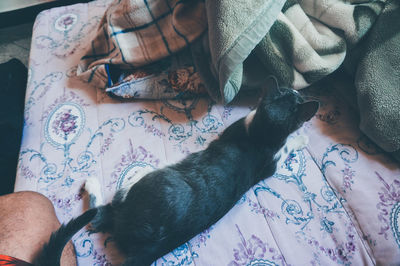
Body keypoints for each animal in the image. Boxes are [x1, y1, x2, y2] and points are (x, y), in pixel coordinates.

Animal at [36, 77, 320, 266]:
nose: (297, 89)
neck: (262, 135)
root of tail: (149, 244)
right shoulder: (267, 162)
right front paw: (300, 139)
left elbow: (287, 145)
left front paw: (300, 139)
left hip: (146, 178)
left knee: (99, 213)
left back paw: (94, 183)